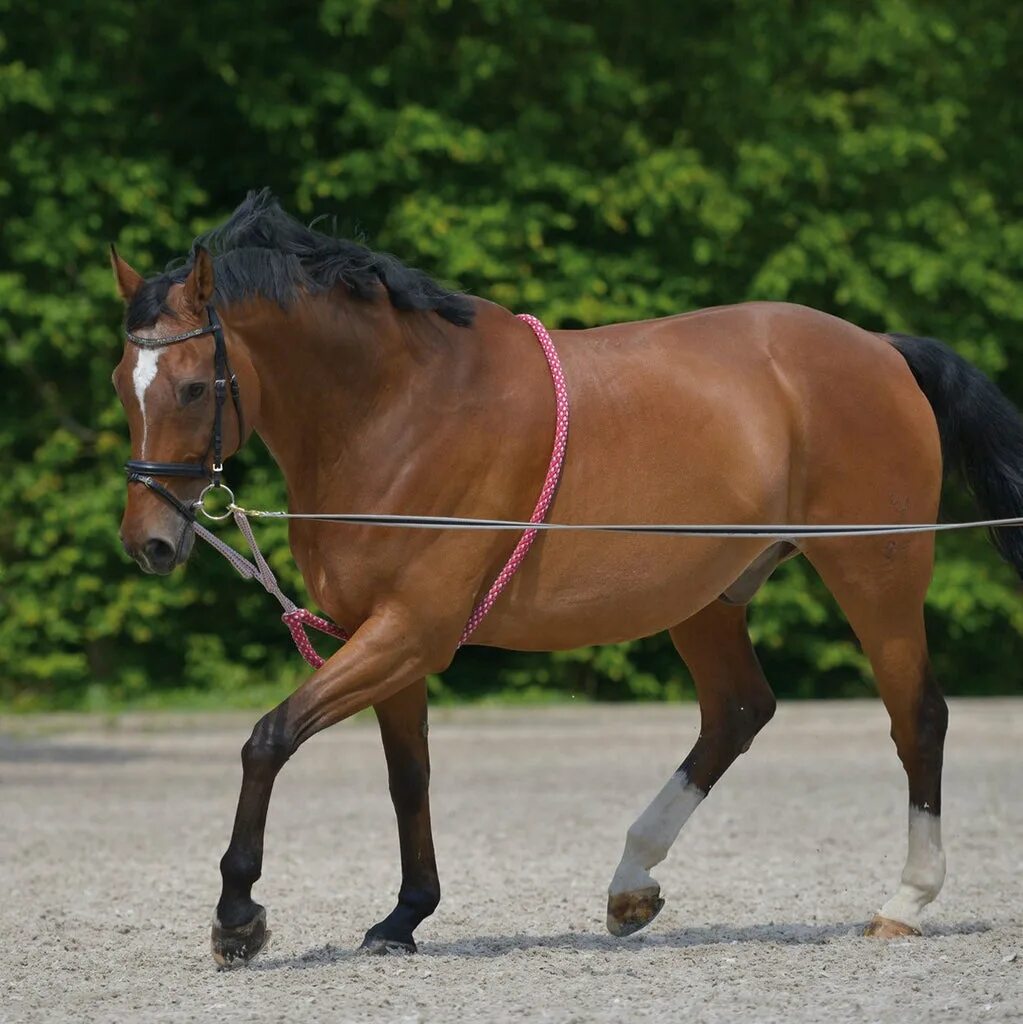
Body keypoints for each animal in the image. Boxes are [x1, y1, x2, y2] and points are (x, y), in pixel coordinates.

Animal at [110, 192, 1023, 966]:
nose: (149, 542)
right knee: (736, 712)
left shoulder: (410, 632)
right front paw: (404, 917)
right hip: (705, 597)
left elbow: (268, 739)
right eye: (125, 384)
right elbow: (409, 777)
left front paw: (237, 919)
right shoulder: (386, 638)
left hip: (876, 575)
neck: (398, 409)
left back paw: (904, 901)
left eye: (193, 386)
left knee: (917, 718)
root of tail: (880, 350)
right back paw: (630, 886)